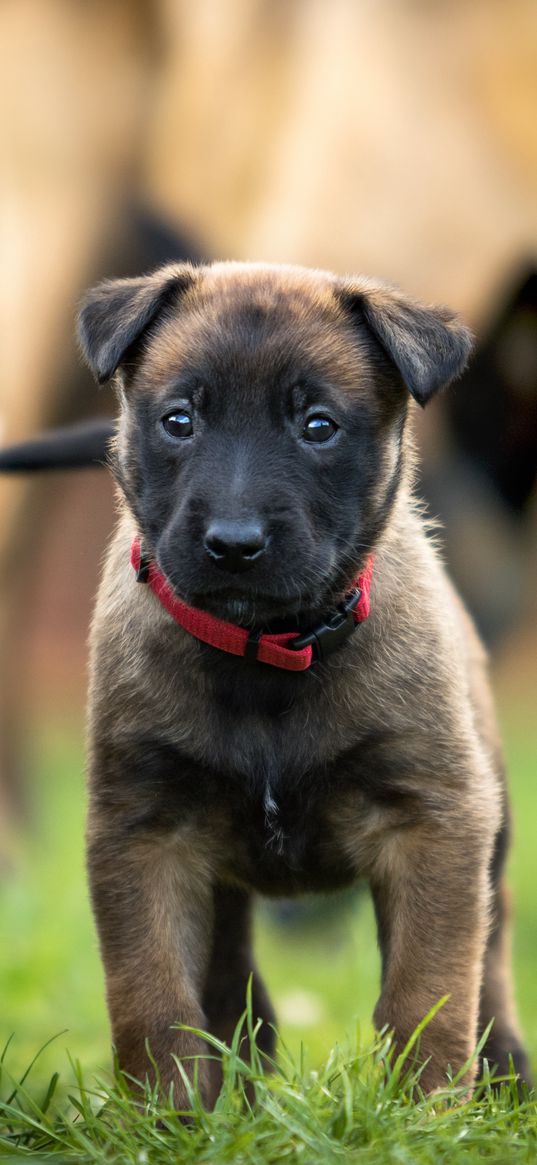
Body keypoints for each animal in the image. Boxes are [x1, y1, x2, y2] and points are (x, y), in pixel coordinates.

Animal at [77, 259, 528, 1104]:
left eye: (317, 426)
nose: (234, 543)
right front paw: (163, 1114)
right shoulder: (144, 832)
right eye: (179, 420)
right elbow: (152, 997)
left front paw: (425, 1107)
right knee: (228, 977)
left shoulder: (432, 822)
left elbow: (427, 989)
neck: (267, 657)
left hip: (490, 833)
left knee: (489, 965)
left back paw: (506, 1075)